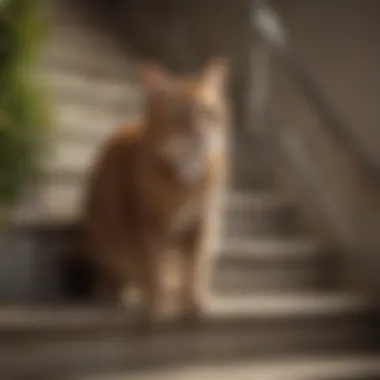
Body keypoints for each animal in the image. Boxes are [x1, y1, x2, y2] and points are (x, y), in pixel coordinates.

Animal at [67, 59, 230, 324]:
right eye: (179, 115)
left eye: (208, 112)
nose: (199, 133)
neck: (186, 180)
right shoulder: (148, 227)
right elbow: (153, 271)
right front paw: (155, 307)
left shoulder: (200, 226)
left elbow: (194, 270)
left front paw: (195, 303)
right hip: (105, 234)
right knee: (117, 273)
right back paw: (114, 292)